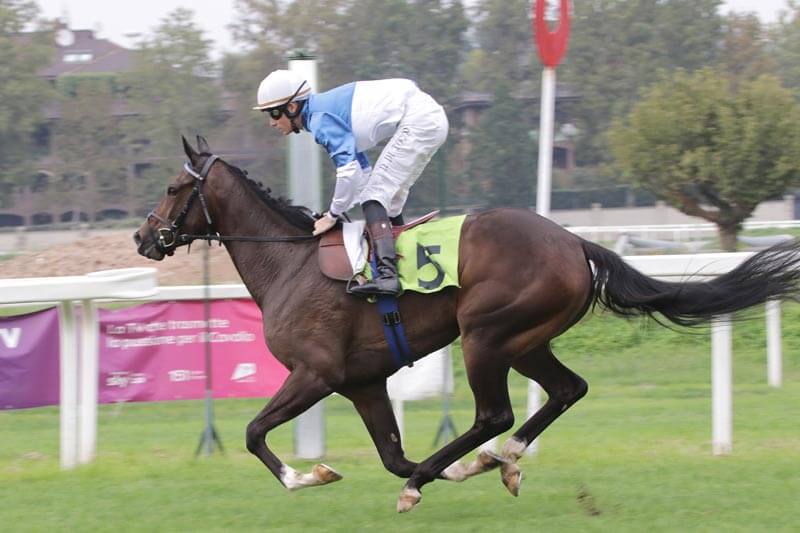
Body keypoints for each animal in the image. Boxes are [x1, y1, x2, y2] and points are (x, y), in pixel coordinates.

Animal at [134, 136, 800, 513]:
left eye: (171, 187)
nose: (143, 237)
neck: (291, 263)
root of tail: (575, 242)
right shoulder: (363, 383)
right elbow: (392, 454)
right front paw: (440, 470)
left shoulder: (315, 373)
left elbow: (253, 432)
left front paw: (310, 474)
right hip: (525, 340)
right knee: (567, 389)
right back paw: (500, 461)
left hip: (485, 334)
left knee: (495, 414)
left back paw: (476, 462)